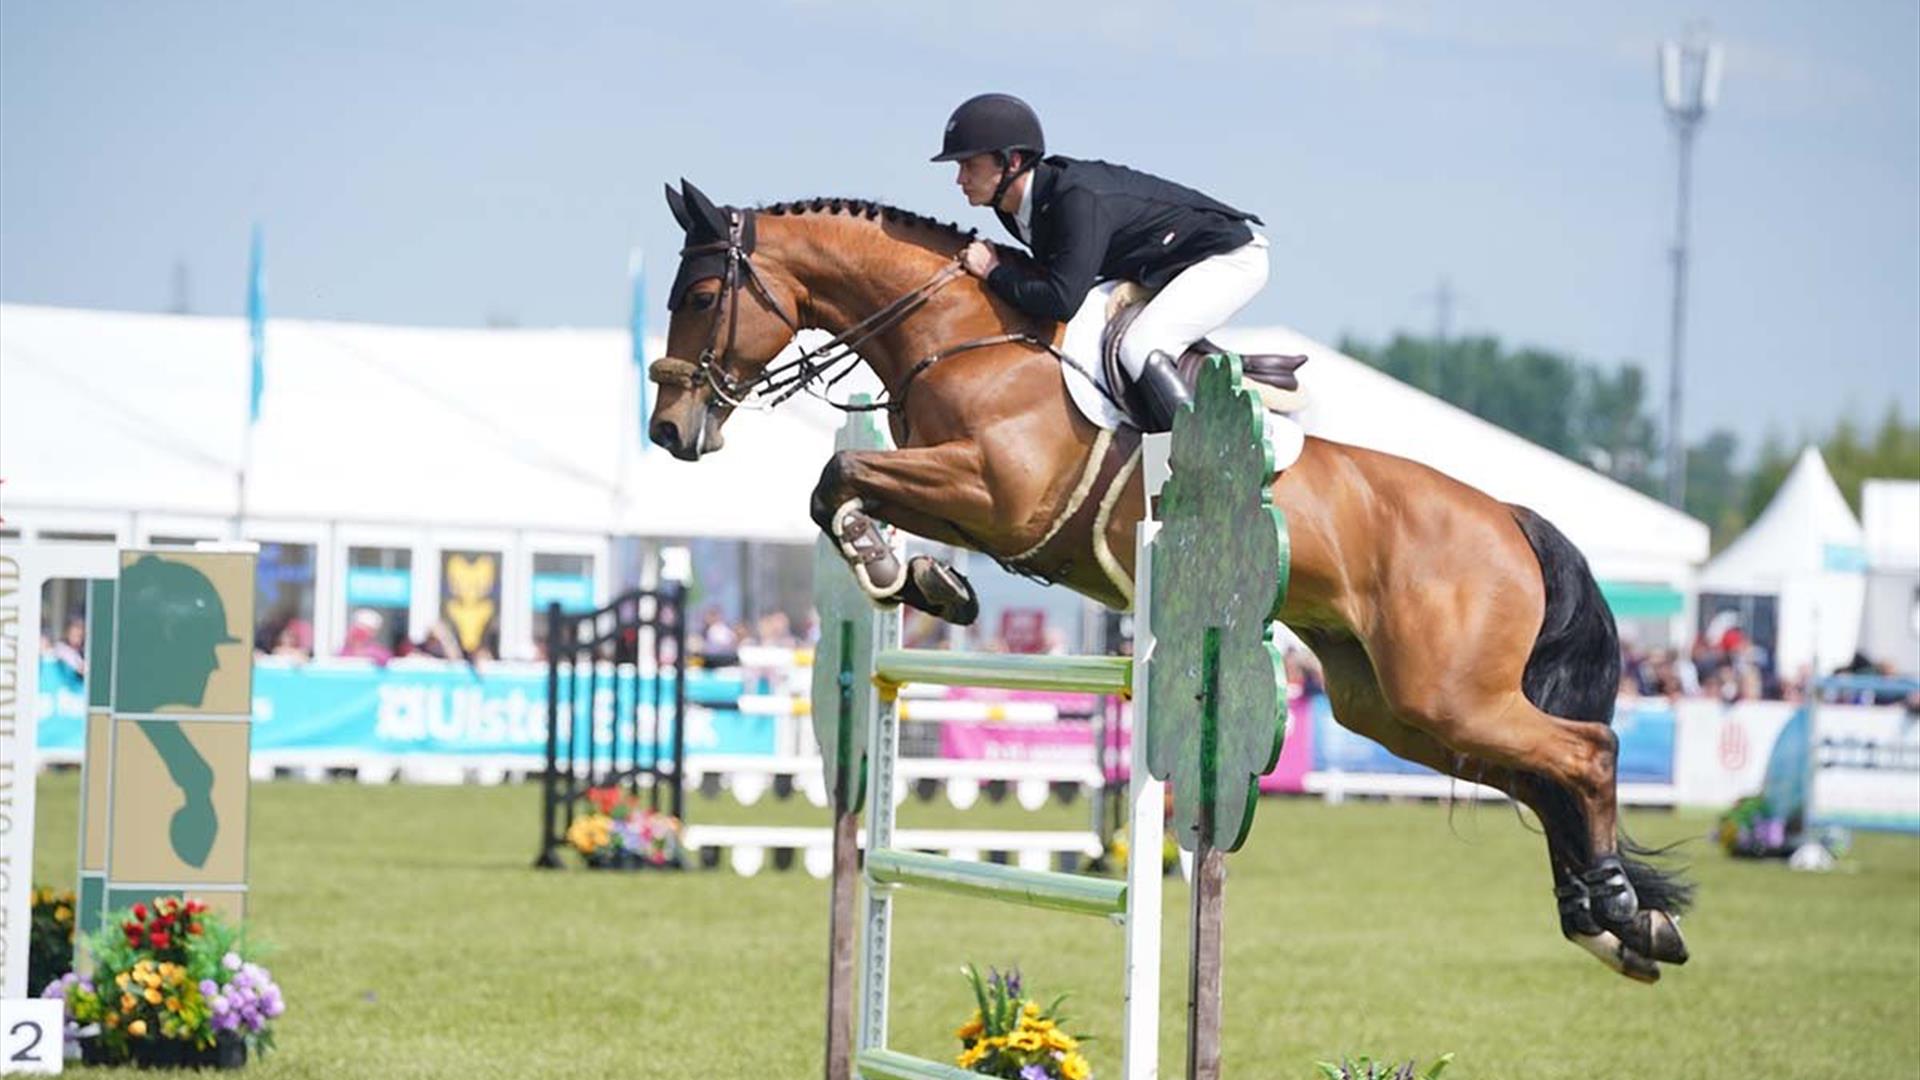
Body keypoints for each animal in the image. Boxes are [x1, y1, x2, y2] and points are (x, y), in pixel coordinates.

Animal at [648, 180, 1697, 980]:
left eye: (699, 293)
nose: (669, 430)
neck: (961, 332)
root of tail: (1509, 520)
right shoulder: (966, 499)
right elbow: (847, 489)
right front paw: (925, 581)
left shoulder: (998, 495)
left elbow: (839, 476)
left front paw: (888, 567)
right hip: (1395, 708)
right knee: (1542, 774)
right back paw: (1618, 926)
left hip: (1449, 692)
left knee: (1587, 753)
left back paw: (1615, 910)